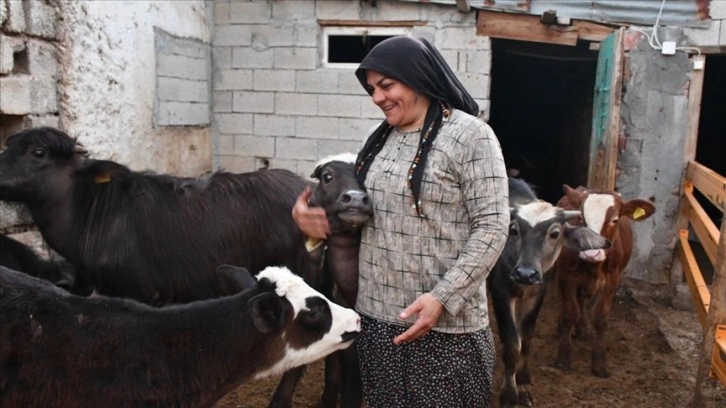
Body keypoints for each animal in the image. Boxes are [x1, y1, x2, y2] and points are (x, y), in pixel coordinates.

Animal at [486, 179, 612, 408]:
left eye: (554, 233)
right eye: (514, 230)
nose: (525, 273)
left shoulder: (538, 293)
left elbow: (526, 339)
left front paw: (523, 383)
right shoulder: (500, 291)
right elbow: (512, 344)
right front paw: (509, 394)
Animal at [556, 184, 656, 376]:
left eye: (615, 219)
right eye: (581, 218)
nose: (591, 252)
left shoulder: (613, 280)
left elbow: (600, 318)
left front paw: (600, 362)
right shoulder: (565, 275)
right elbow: (569, 313)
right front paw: (563, 357)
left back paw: (582, 329)